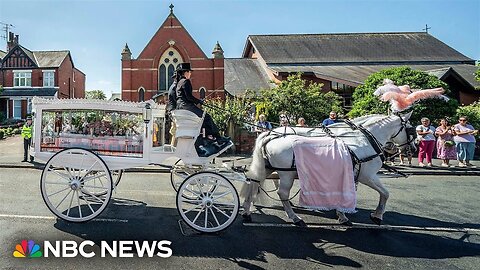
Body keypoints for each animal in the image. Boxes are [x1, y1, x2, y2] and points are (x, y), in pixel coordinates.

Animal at [242, 112, 414, 226]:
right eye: (411, 130)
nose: (412, 148)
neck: (363, 138)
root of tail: (270, 135)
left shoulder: (352, 173)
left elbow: (347, 191)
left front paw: (342, 213)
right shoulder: (367, 175)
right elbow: (385, 193)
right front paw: (377, 215)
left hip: (267, 167)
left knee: (254, 181)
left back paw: (246, 211)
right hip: (287, 173)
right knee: (282, 192)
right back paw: (294, 217)